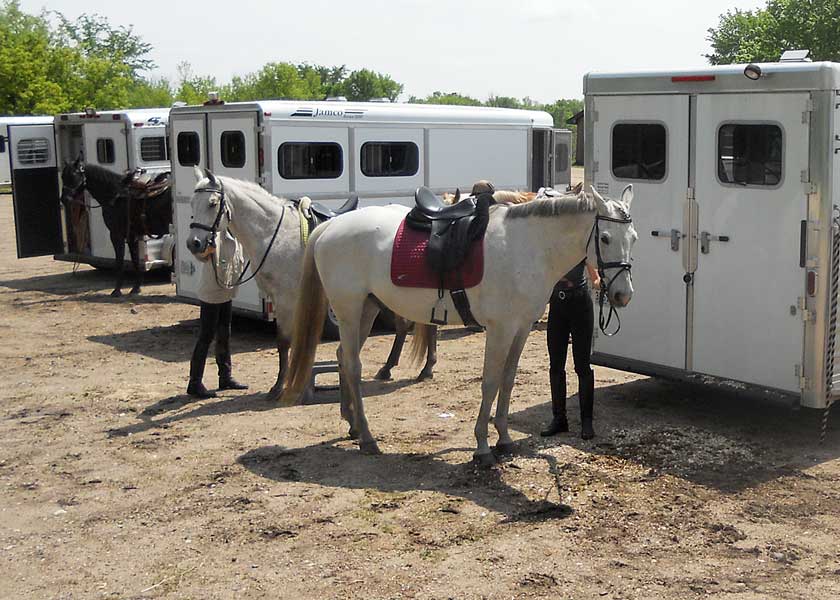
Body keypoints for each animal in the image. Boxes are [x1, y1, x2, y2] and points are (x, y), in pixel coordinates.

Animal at [60, 159, 172, 296]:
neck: (116, 195)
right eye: (62, 176)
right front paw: (136, 288)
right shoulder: (132, 236)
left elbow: (119, 262)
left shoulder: (116, 234)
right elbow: (135, 260)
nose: (64, 199)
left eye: (73, 175)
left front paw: (117, 290)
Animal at [186, 169, 436, 400]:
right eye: (192, 203)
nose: (194, 243)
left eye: (212, 203)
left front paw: (278, 387)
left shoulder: (286, 299)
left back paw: (424, 368)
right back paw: (392, 369)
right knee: (406, 325)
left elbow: (283, 341)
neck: (275, 233)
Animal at [282, 185, 636, 466]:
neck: (527, 246)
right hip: (348, 309)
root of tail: (330, 227)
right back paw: (368, 438)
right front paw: (482, 447)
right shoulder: (500, 329)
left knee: (343, 357)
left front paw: (504, 439)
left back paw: (353, 424)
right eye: (605, 237)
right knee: (354, 366)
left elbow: (508, 381)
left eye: (632, 237)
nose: (623, 295)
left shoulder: (520, 328)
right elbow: (490, 383)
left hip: (366, 309)